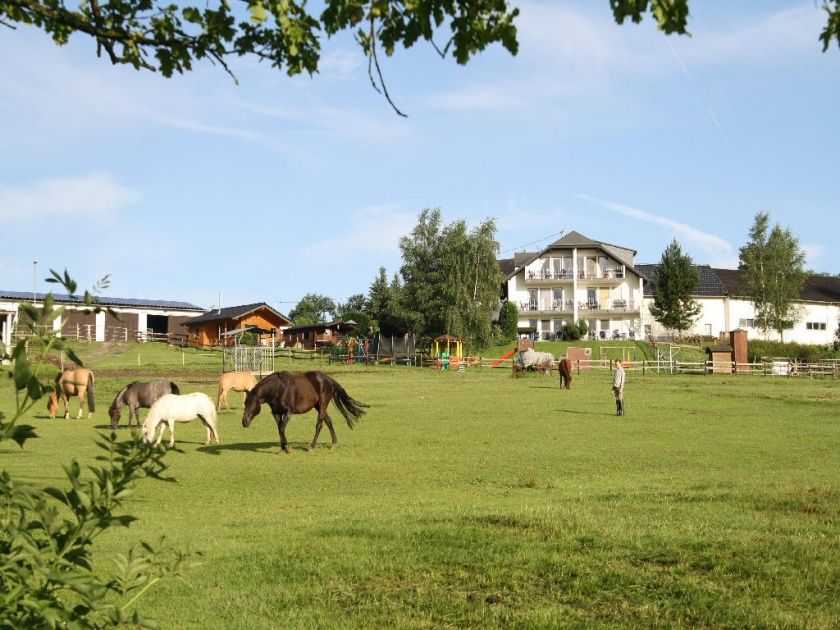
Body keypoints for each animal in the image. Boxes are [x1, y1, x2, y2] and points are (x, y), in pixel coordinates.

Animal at [238, 370, 366, 454]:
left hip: (322, 405)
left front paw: (288, 448)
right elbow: (279, 429)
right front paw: (282, 448)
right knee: (329, 421)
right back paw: (333, 444)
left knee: (319, 425)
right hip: (318, 406)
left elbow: (282, 428)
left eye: (252, 404)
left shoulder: (288, 412)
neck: (278, 389)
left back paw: (312, 447)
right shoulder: (276, 413)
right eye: (245, 403)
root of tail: (328, 379)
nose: (244, 422)